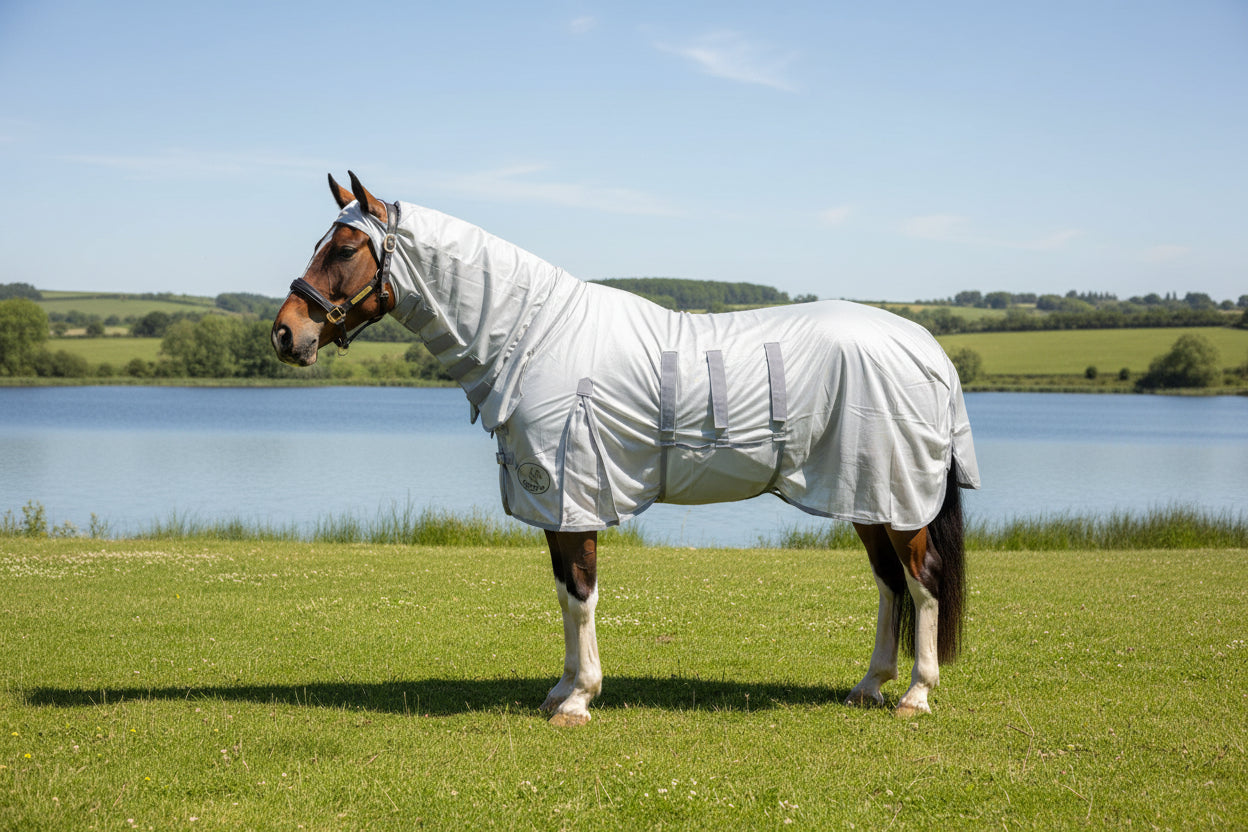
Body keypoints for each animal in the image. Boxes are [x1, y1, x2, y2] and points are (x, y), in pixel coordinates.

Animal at [272, 172, 980, 726]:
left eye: (343, 248)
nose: (285, 333)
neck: (537, 336)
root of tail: (926, 347)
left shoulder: (573, 494)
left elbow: (582, 593)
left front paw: (579, 699)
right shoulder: (552, 502)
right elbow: (565, 594)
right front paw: (560, 689)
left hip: (898, 497)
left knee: (922, 581)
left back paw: (915, 695)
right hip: (868, 494)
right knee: (889, 583)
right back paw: (868, 686)